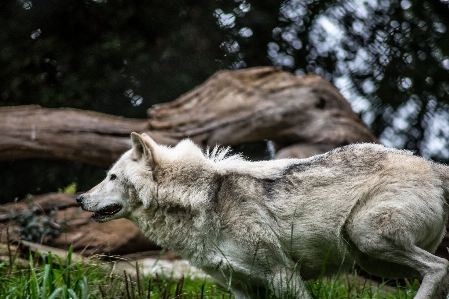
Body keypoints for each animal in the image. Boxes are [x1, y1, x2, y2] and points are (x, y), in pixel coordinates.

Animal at [76, 134, 448, 299]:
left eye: (111, 177)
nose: (79, 198)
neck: (201, 200)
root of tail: (432, 165)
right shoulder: (241, 288)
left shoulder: (284, 276)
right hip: (376, 262)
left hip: (368, 240)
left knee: (439, 266)